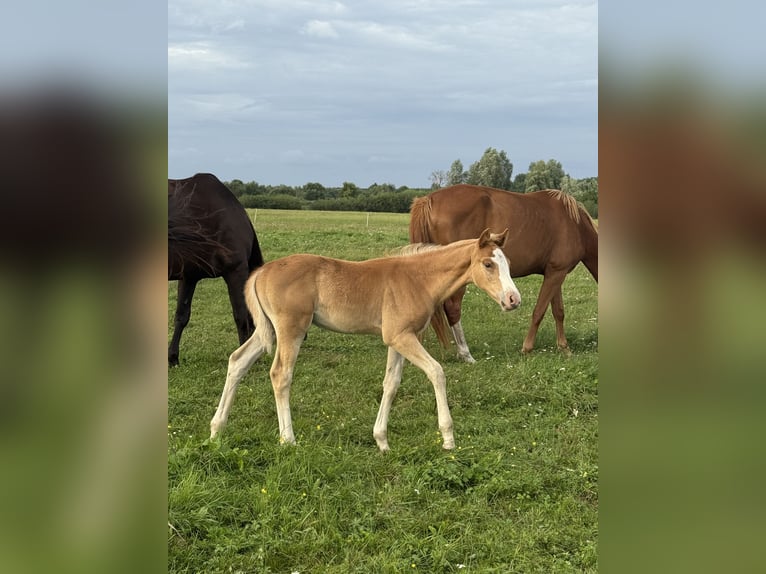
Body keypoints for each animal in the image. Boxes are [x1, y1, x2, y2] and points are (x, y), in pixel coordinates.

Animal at [209, 229, 521, 452]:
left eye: (506, 263)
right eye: (488, 264)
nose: (513, 300)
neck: (418, 279)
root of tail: (261, 271)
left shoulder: (397, 339)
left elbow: (391, 384)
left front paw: (382, 440)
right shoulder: (402, 337)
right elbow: (437, 372)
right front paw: (448, 438)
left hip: (268, 331)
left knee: (237, 361)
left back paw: (216, 429)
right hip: (290, 330)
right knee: (280, 375)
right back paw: (288, 439)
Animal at [410, 184, 597, 362]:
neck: (576, 225)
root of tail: (428, 199)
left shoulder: (555, 273)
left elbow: (558, 311)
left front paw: (564, 348)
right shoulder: (556, 273)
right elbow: (539, 311)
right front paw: (527, 349)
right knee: (453, 309)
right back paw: (465, 354)